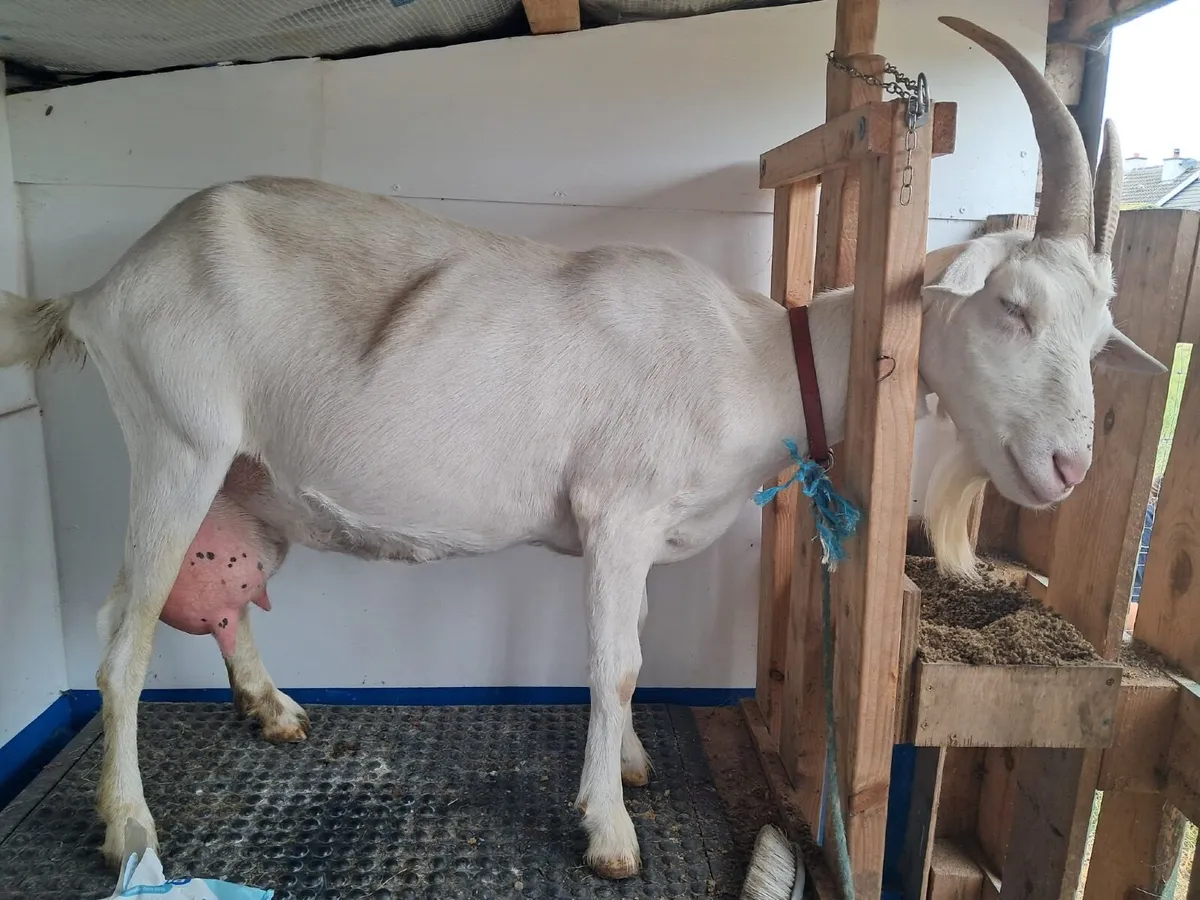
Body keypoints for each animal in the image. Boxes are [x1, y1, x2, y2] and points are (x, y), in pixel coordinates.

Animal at [0, 16, 1165, 880]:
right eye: (1011, 306)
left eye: (1099, 330)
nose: (1067, 469)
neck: (753, 357)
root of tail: (102, 288)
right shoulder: (620, 511)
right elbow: (618, 663)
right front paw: (609, 831)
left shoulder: (631, 537)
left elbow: (632, 651)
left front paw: (637, 768)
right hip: (176, 441)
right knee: (120, 635)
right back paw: (130, 829)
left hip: (245, 481)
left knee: (214, 597)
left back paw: (274, 709)